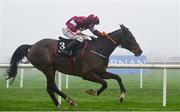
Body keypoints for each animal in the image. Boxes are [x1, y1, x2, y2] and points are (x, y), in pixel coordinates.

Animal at [6, 24, 142, 107]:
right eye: (131, 37)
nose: (139, 51)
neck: (98, 49)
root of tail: (32, 46)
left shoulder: (100, 72)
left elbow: (117, 77)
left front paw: (122, 96)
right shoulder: (87, 74)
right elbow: (105, 83)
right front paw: (93, 92)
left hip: (51, 68)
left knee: (50, 87)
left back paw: (63, 103)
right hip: (47, 68)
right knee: (51, 86)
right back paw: (67, 101)